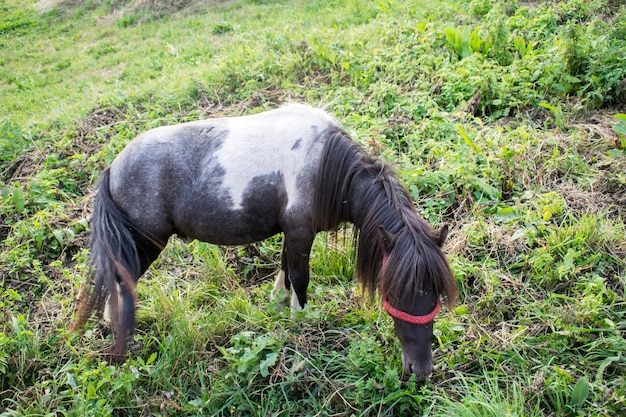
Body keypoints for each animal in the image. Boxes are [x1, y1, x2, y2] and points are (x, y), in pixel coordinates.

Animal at [79, 103, 458, 380]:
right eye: (395, 292)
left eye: (437, 293)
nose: (421, 371)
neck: (324, 166)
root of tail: (113, 167)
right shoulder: (301, 231)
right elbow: (300, 278)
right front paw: (301, 321)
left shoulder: (291, 232)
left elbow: (285, 270)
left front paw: (278, 306)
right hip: (145, 244)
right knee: (121, 280)